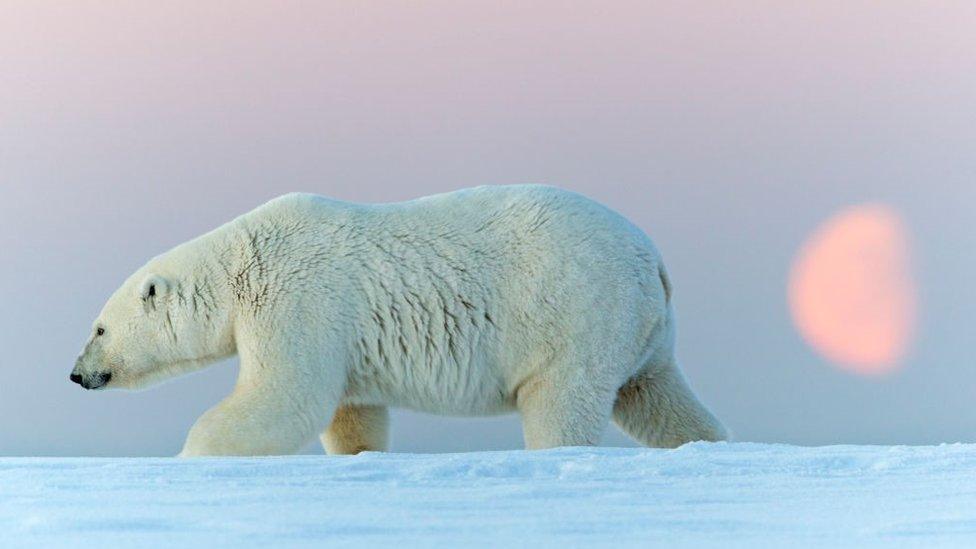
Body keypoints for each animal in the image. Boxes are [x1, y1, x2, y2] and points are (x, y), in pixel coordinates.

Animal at [70, 184, 724, 454]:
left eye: (99, 328)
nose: (77, 373)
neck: (241, 264)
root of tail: (652, 259)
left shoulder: (297, 299)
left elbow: (286, 394)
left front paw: (192, 455)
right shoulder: (339, 335)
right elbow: (351, 413)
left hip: (575, 310)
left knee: (561, 400)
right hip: (641, 330)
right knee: (655, 396)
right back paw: (707, 444)